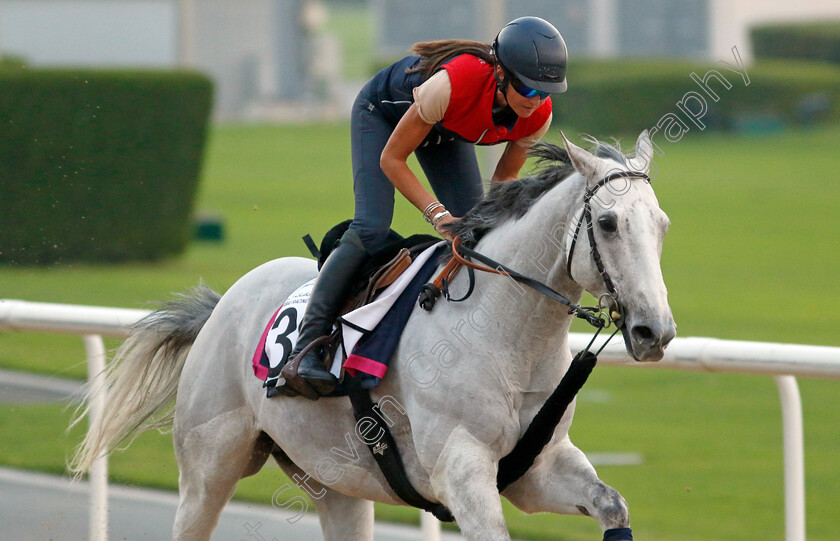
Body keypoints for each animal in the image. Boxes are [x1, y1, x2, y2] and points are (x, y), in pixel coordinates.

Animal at [70, 132, 676, 540]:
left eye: (663, 225)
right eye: (608, 224)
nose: (655, 330)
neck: (505, 335)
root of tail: (224, 304)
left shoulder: (534, 470)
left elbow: (612, 503)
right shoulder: (460, 468)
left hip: (338, 483)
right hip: (207, 469)